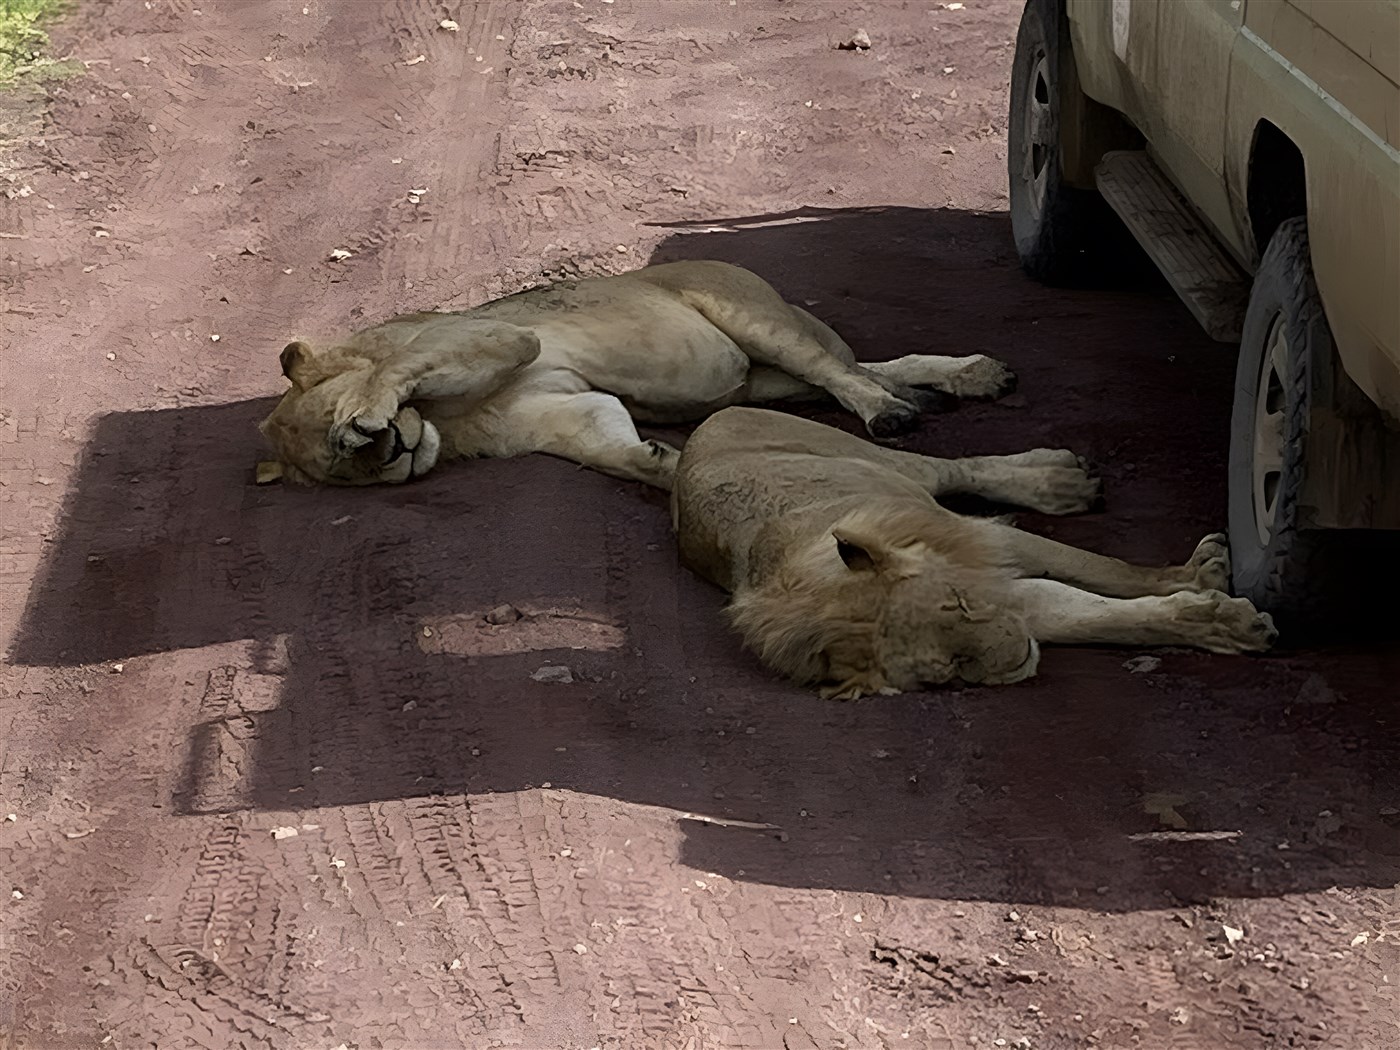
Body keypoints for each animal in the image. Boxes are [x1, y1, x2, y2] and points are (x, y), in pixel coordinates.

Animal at [258, 260, 1016, 489]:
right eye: (342, 475)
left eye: (341, 444)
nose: (390, 448)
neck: (447, 426)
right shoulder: (571, 414)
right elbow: (615, 452)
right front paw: (662, 461)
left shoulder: (499, 336)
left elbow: (401, 366)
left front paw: (371, 407)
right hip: (764, 378)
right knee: (862, 368)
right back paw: (964, 381)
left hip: (752, 320)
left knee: (839, 370)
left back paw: (894, 411)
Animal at [671, 407, 1278, 699]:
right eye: (951, 673)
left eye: (958, 604)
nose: (1020, 655)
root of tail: (706, 424)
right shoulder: (1011, 599)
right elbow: (1107, 619)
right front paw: (1221, 622)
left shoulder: (987, 545)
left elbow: (1109, 570)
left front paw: (1202, 579)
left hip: (883, 460)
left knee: (958, 467)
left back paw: (1062, 482)